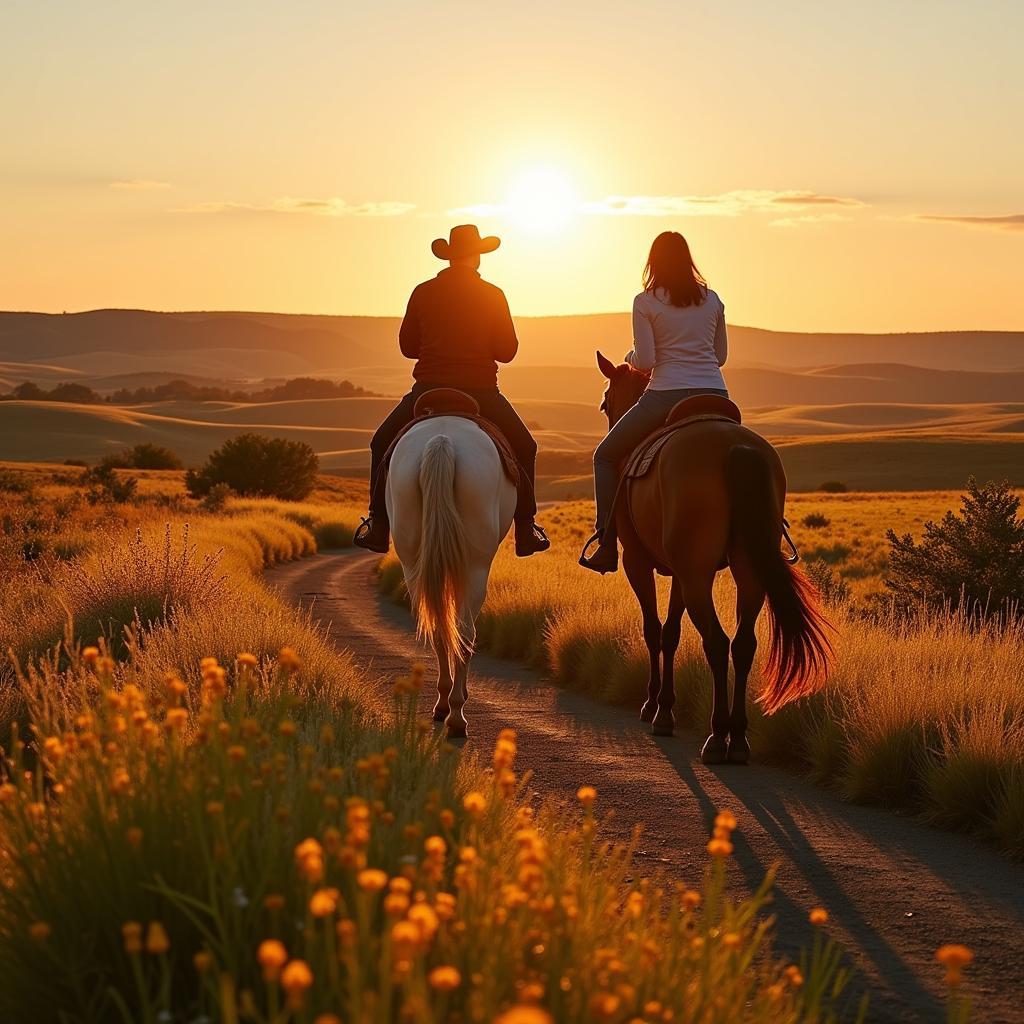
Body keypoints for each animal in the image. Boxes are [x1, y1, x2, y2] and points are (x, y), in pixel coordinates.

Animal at [385, 415, 516, 737]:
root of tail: (442, 440)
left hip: (412, 562)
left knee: (438, 625)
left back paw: (445, 704)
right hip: (476, 565)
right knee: (465, 630)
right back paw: (456, 714)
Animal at [598, 352, 831, 761]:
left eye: (605, 401)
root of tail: (734, 447)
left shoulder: (638, 563)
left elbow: (653, 629)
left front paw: (653, 707)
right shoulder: (678, 571)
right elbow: (671, 633)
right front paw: (664, 708)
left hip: (697, 576)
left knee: (718, 643)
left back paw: (717, 736)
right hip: (743, 572)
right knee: (743, 644)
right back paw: (737, 738)